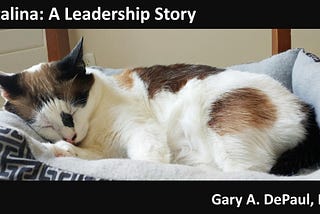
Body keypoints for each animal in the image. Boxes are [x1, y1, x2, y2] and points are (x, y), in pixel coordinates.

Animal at [0, 38, 320, 176]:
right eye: (46, 125)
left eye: (73, 110)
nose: (70, 136)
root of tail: (304, 109)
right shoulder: (101, 150)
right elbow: (91, 156)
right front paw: (61, 149)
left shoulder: (142, 134)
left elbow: (143, 161)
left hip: (224, 125)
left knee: (251, 173)